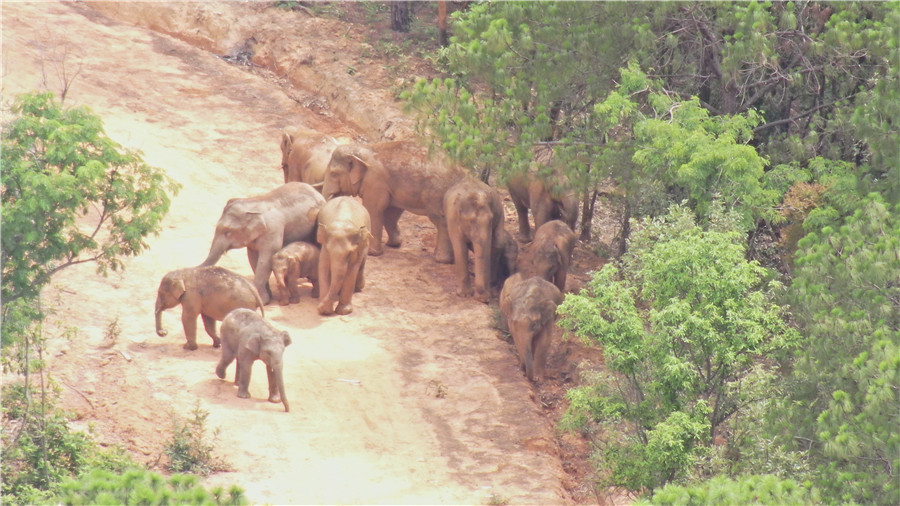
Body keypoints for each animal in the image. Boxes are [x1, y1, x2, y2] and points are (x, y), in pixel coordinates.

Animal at [322, 140, 464, 262]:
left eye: (334, 174)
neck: (364, 149)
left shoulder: (375, 181)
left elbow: (373, 209)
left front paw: (372, 253)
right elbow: (391, 212)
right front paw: (394, 244)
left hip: (436, 194)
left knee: (441, 221)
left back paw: (441, 260)